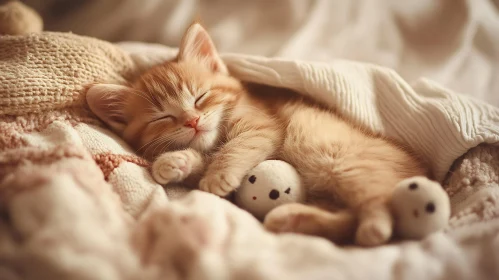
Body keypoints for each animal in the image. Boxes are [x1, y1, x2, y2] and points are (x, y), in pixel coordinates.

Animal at [86, 23, 430, 245]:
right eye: (163, 117)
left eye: (200, 97)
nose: (193, 121)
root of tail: (422, 169)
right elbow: (202, 159)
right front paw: (176, 162)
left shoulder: (263, 128)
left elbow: (236, 149)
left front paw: (217, 175)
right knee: (346, 219)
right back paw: (291, 219)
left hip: (347, 163)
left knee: (377, 201)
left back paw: (375, 227)